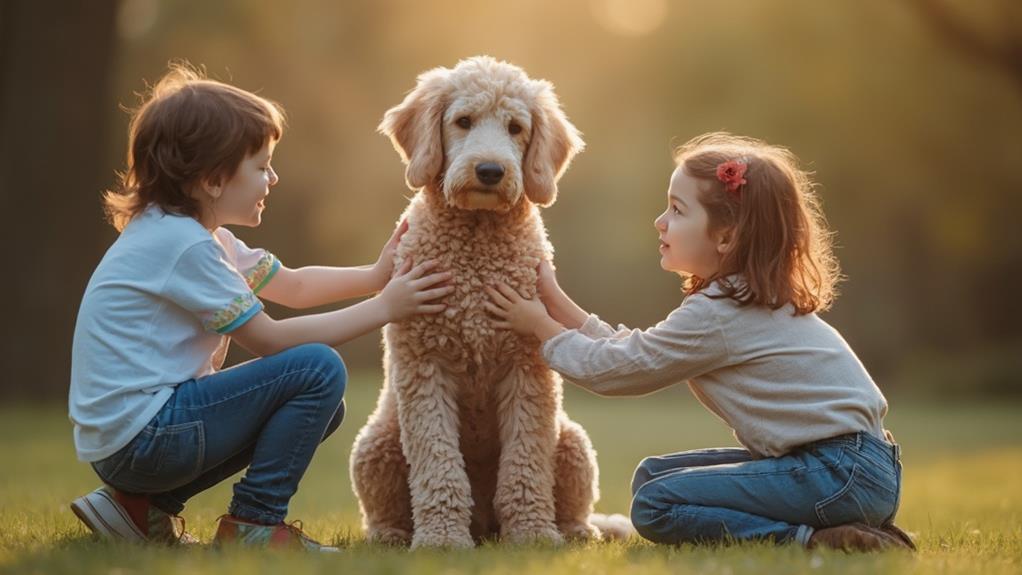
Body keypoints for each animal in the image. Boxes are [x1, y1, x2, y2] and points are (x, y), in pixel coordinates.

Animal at [351, 57, 605, 547]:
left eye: (516, 127)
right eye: (463, 121)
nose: (490, 170)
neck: (477, 237)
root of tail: (484, 525)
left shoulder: (527, 368)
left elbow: (526, 463)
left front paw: (533, 534)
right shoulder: (424, 365)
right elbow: (438, 462)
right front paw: (442, 539)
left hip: (572, 442)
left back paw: (575, 531)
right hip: (377, 445)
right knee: (382, 508)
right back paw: (390, 535)